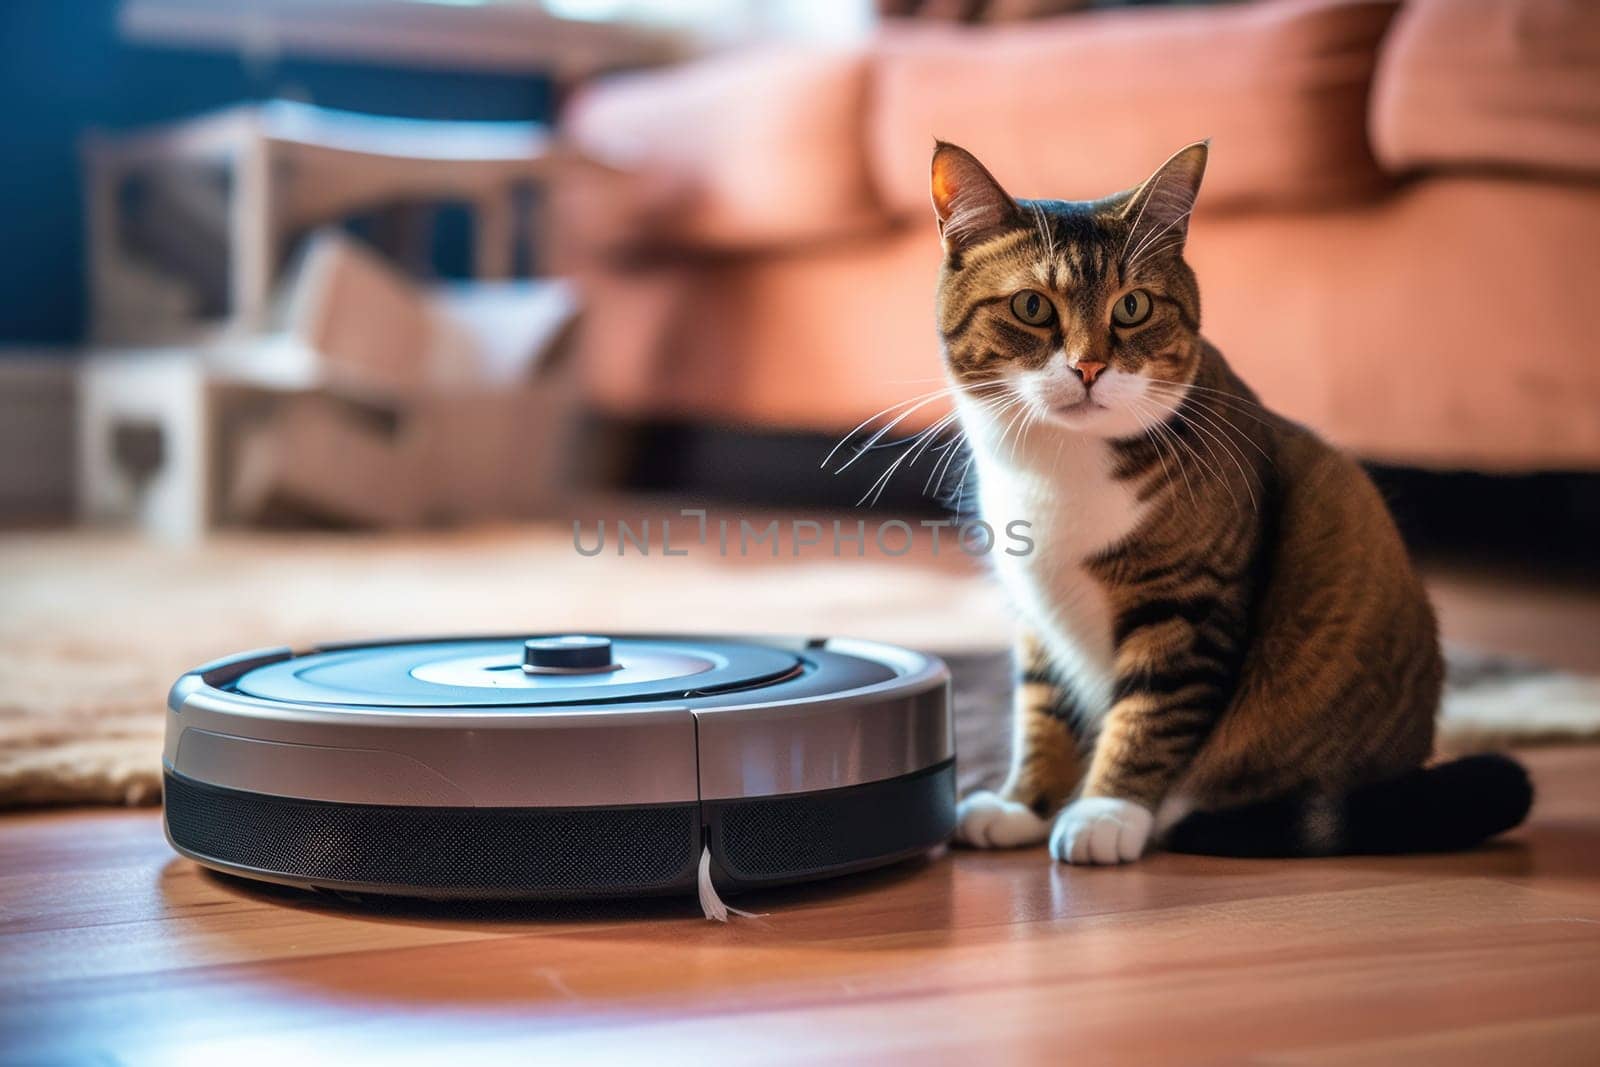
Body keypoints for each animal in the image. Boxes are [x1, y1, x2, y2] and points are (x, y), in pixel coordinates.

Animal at [934, 141, 1529, 863]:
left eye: (1132, 307)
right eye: (1030, 306)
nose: (1088, 367)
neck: (1058, 467)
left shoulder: (1190, 604)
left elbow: (1153, 709)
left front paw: (1108, 811)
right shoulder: (1036, 613)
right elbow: (1044, 708)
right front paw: (1024, 805)